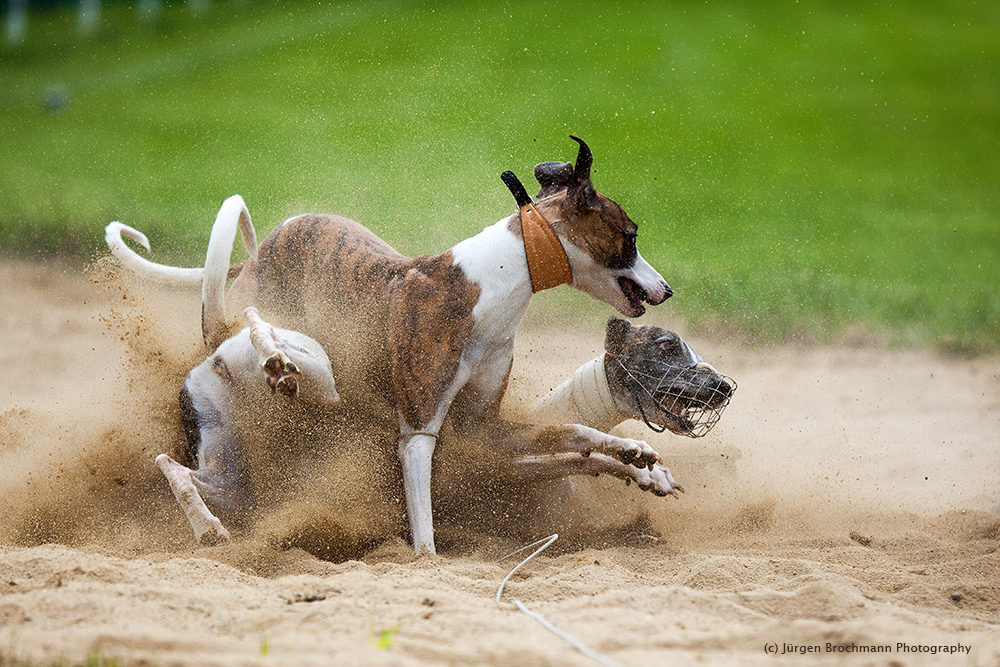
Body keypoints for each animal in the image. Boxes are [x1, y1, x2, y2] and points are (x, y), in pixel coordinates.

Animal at [107, 136, 680, 552]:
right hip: (314, 374)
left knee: (179, 467)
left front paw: (637, 454)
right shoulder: (419, 434)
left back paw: (212, 521)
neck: (494, 281)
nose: (667, 290)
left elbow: (577, 433)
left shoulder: (484, 429)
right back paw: (274, 358)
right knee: (264, 341)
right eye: (630, 235)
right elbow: (425, 539)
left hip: (235, 466)